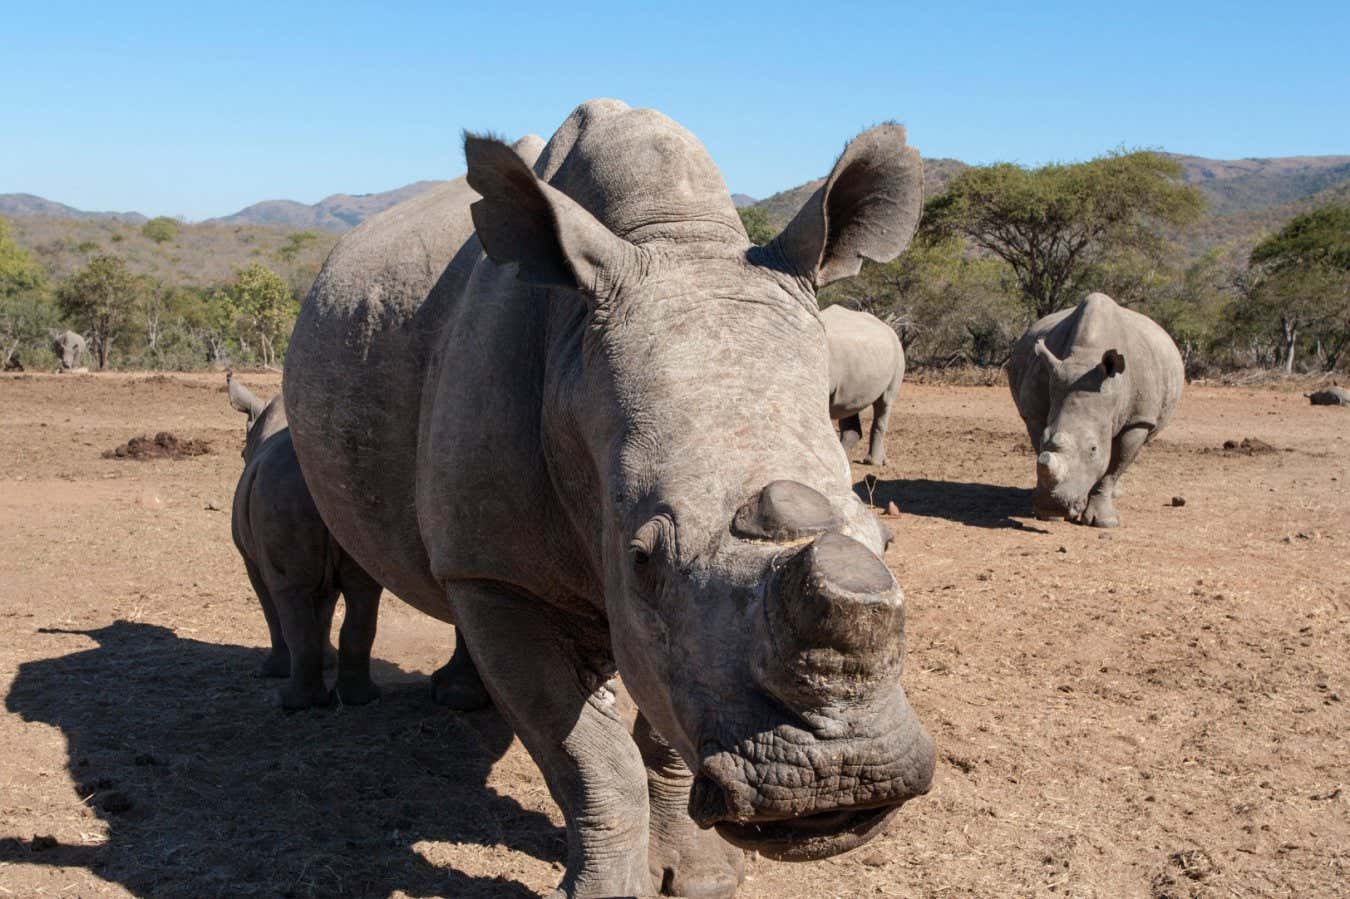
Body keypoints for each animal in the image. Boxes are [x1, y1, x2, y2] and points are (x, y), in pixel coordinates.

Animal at [1008, 292, 1184, 528]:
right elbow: (1041, 451)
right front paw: (1050, 515)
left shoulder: (1138, 420)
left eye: (1093, 448)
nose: (1053, 504)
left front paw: (1104, 522)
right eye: (1046, 437)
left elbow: (1112, 468)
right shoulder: (1035, 412)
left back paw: (1116, 495)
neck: (1086, 356)